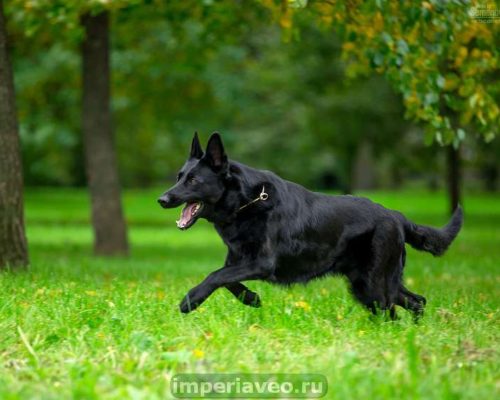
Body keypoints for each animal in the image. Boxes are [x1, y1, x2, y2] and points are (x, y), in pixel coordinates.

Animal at [158, 132, 463, 319]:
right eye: (179, 176)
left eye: (193, 181)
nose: (162, 199)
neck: (247, 202)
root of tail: (396, 215)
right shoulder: (237, 261)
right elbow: (227, 279)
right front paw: (252, 298)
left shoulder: (261, 263)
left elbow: (214, 276)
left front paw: (190, 300)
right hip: (372, 282)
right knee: (417, 301)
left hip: (373, 285)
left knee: (394, 311)